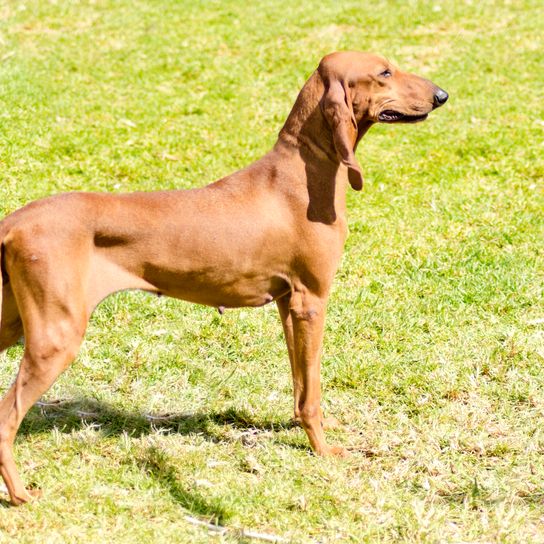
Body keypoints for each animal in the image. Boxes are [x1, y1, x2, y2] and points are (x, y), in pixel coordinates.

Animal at [0, 52, 446, 506]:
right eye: (385, 72)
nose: (442, 95)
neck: (304, 171)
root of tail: (13, 222)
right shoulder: (311, 301)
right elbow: (313, 389)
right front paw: (322, 449)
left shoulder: (288, 304)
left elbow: (302, 383)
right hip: (56, 337)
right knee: (7, 418)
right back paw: (20, 495)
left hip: (14, 324)